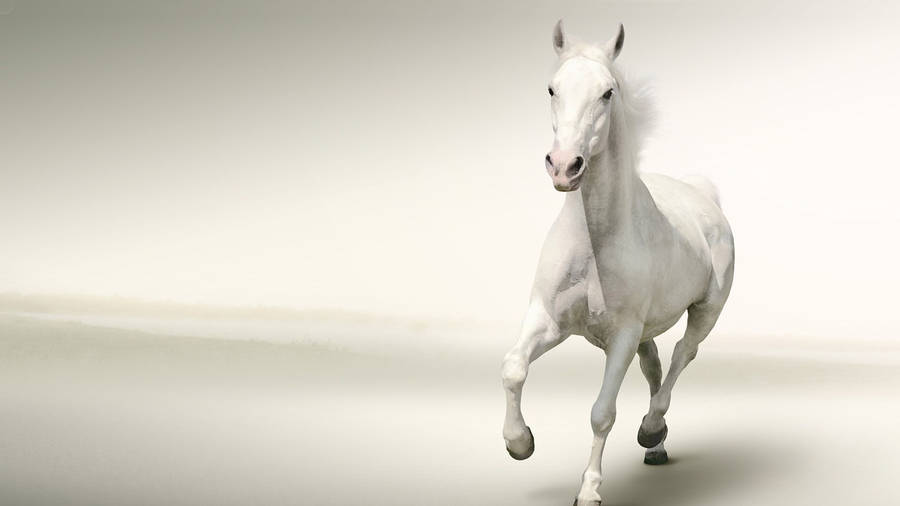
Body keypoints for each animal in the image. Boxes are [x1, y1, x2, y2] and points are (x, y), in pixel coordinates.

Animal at [500, 21, 735, 505]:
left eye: (607, 92)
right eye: (552, 88)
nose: (564, 167)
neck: (594, 243)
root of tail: (702, 193)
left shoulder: (622, 336)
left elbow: (601, 412)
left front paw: (588, 490)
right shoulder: (549, 319)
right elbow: (513, 368)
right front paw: (520, 443)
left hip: (706, 310)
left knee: (683, 354)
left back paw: (651, 430)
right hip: (647, 330)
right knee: (656, 366)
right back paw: (657, 447)